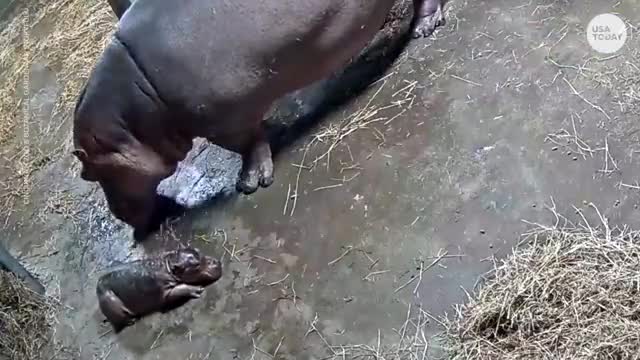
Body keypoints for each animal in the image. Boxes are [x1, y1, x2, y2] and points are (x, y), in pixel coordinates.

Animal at [71, 0, 444, 239]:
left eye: (88, 172)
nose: (121, 217)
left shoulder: (224, 121)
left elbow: (245, 144)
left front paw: (249, 183)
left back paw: (426, 26)